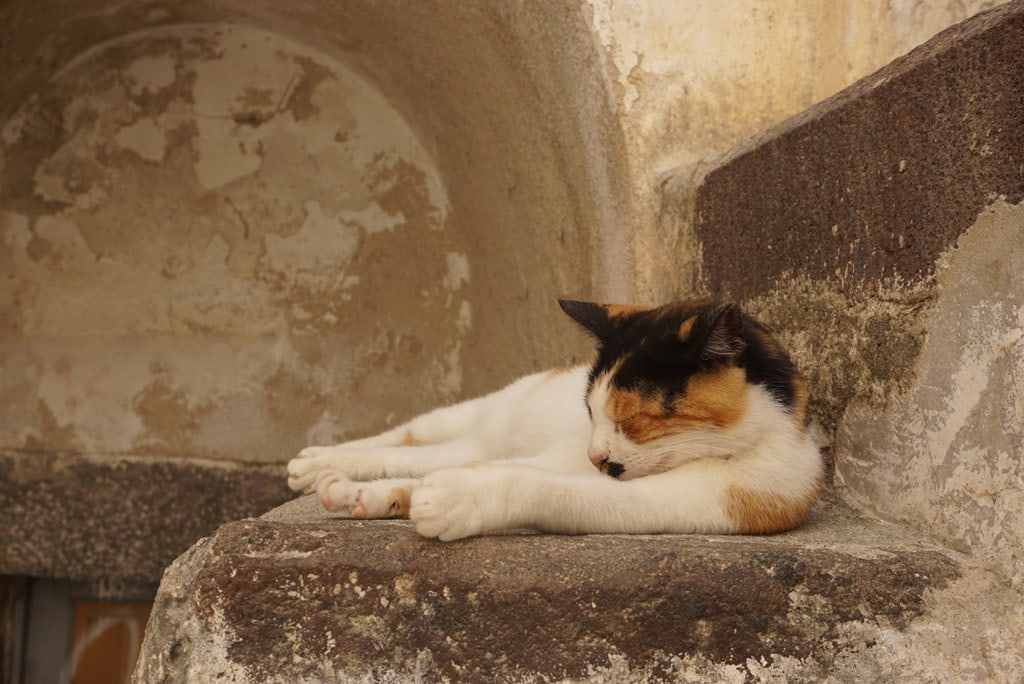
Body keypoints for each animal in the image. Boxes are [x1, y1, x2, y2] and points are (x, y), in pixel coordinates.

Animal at [286, 296, 823, 540]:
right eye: (590, 412)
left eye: (633, 419)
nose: (595, 455)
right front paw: (361, 490)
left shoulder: (713, 499)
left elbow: (543, 487)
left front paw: (446, 498)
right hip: (468, 414)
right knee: (409, 434)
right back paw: (316, 462)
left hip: (477, 441)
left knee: (440, 455)